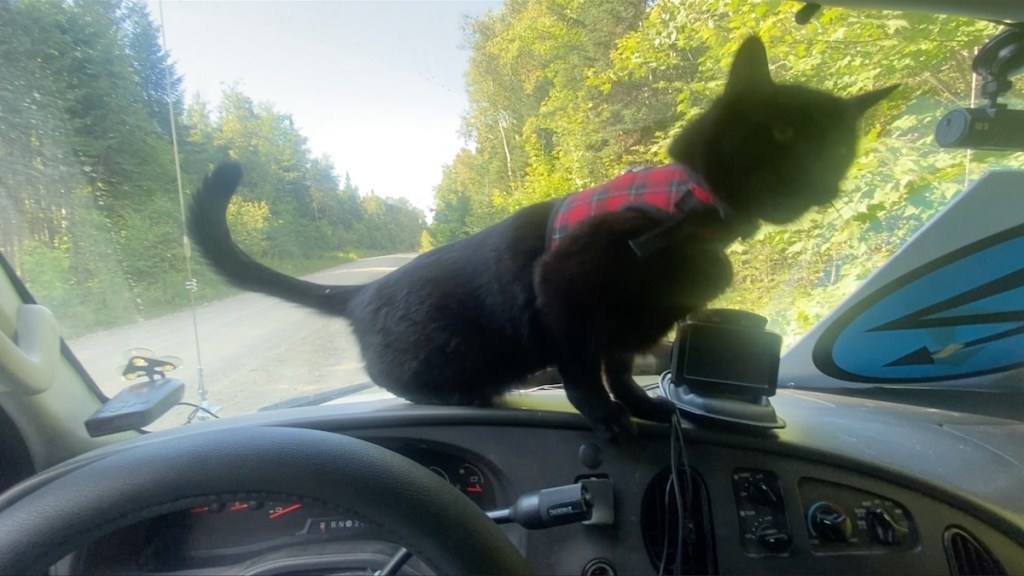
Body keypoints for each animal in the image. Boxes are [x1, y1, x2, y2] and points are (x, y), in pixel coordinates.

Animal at [188, 36, 896, 440]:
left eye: (840, 146)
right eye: (782, 132)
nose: (824, 180)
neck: (693, 215)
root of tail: (361, 293)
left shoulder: (635, 328)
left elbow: (621, 372)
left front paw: (644, 408)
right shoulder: (566, 293)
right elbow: (584, 370)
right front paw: (606, 418)